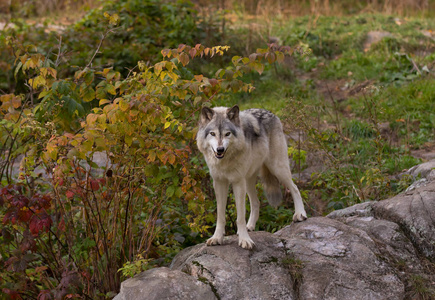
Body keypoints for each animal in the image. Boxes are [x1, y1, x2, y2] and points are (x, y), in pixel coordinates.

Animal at [196, 104, 308, 250]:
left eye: (227, 134)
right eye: (212, 133)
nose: (220, 149)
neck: (225, 161)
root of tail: (270, 112)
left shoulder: (238, 182)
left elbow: (240, 217)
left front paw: (244, 240)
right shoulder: (219, 183)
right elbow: (220, 216)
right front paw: (217, 238)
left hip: (277, 168)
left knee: (295, 188)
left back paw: (300, 214)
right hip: (249, 181)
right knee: (256, 202)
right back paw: (250, 226)